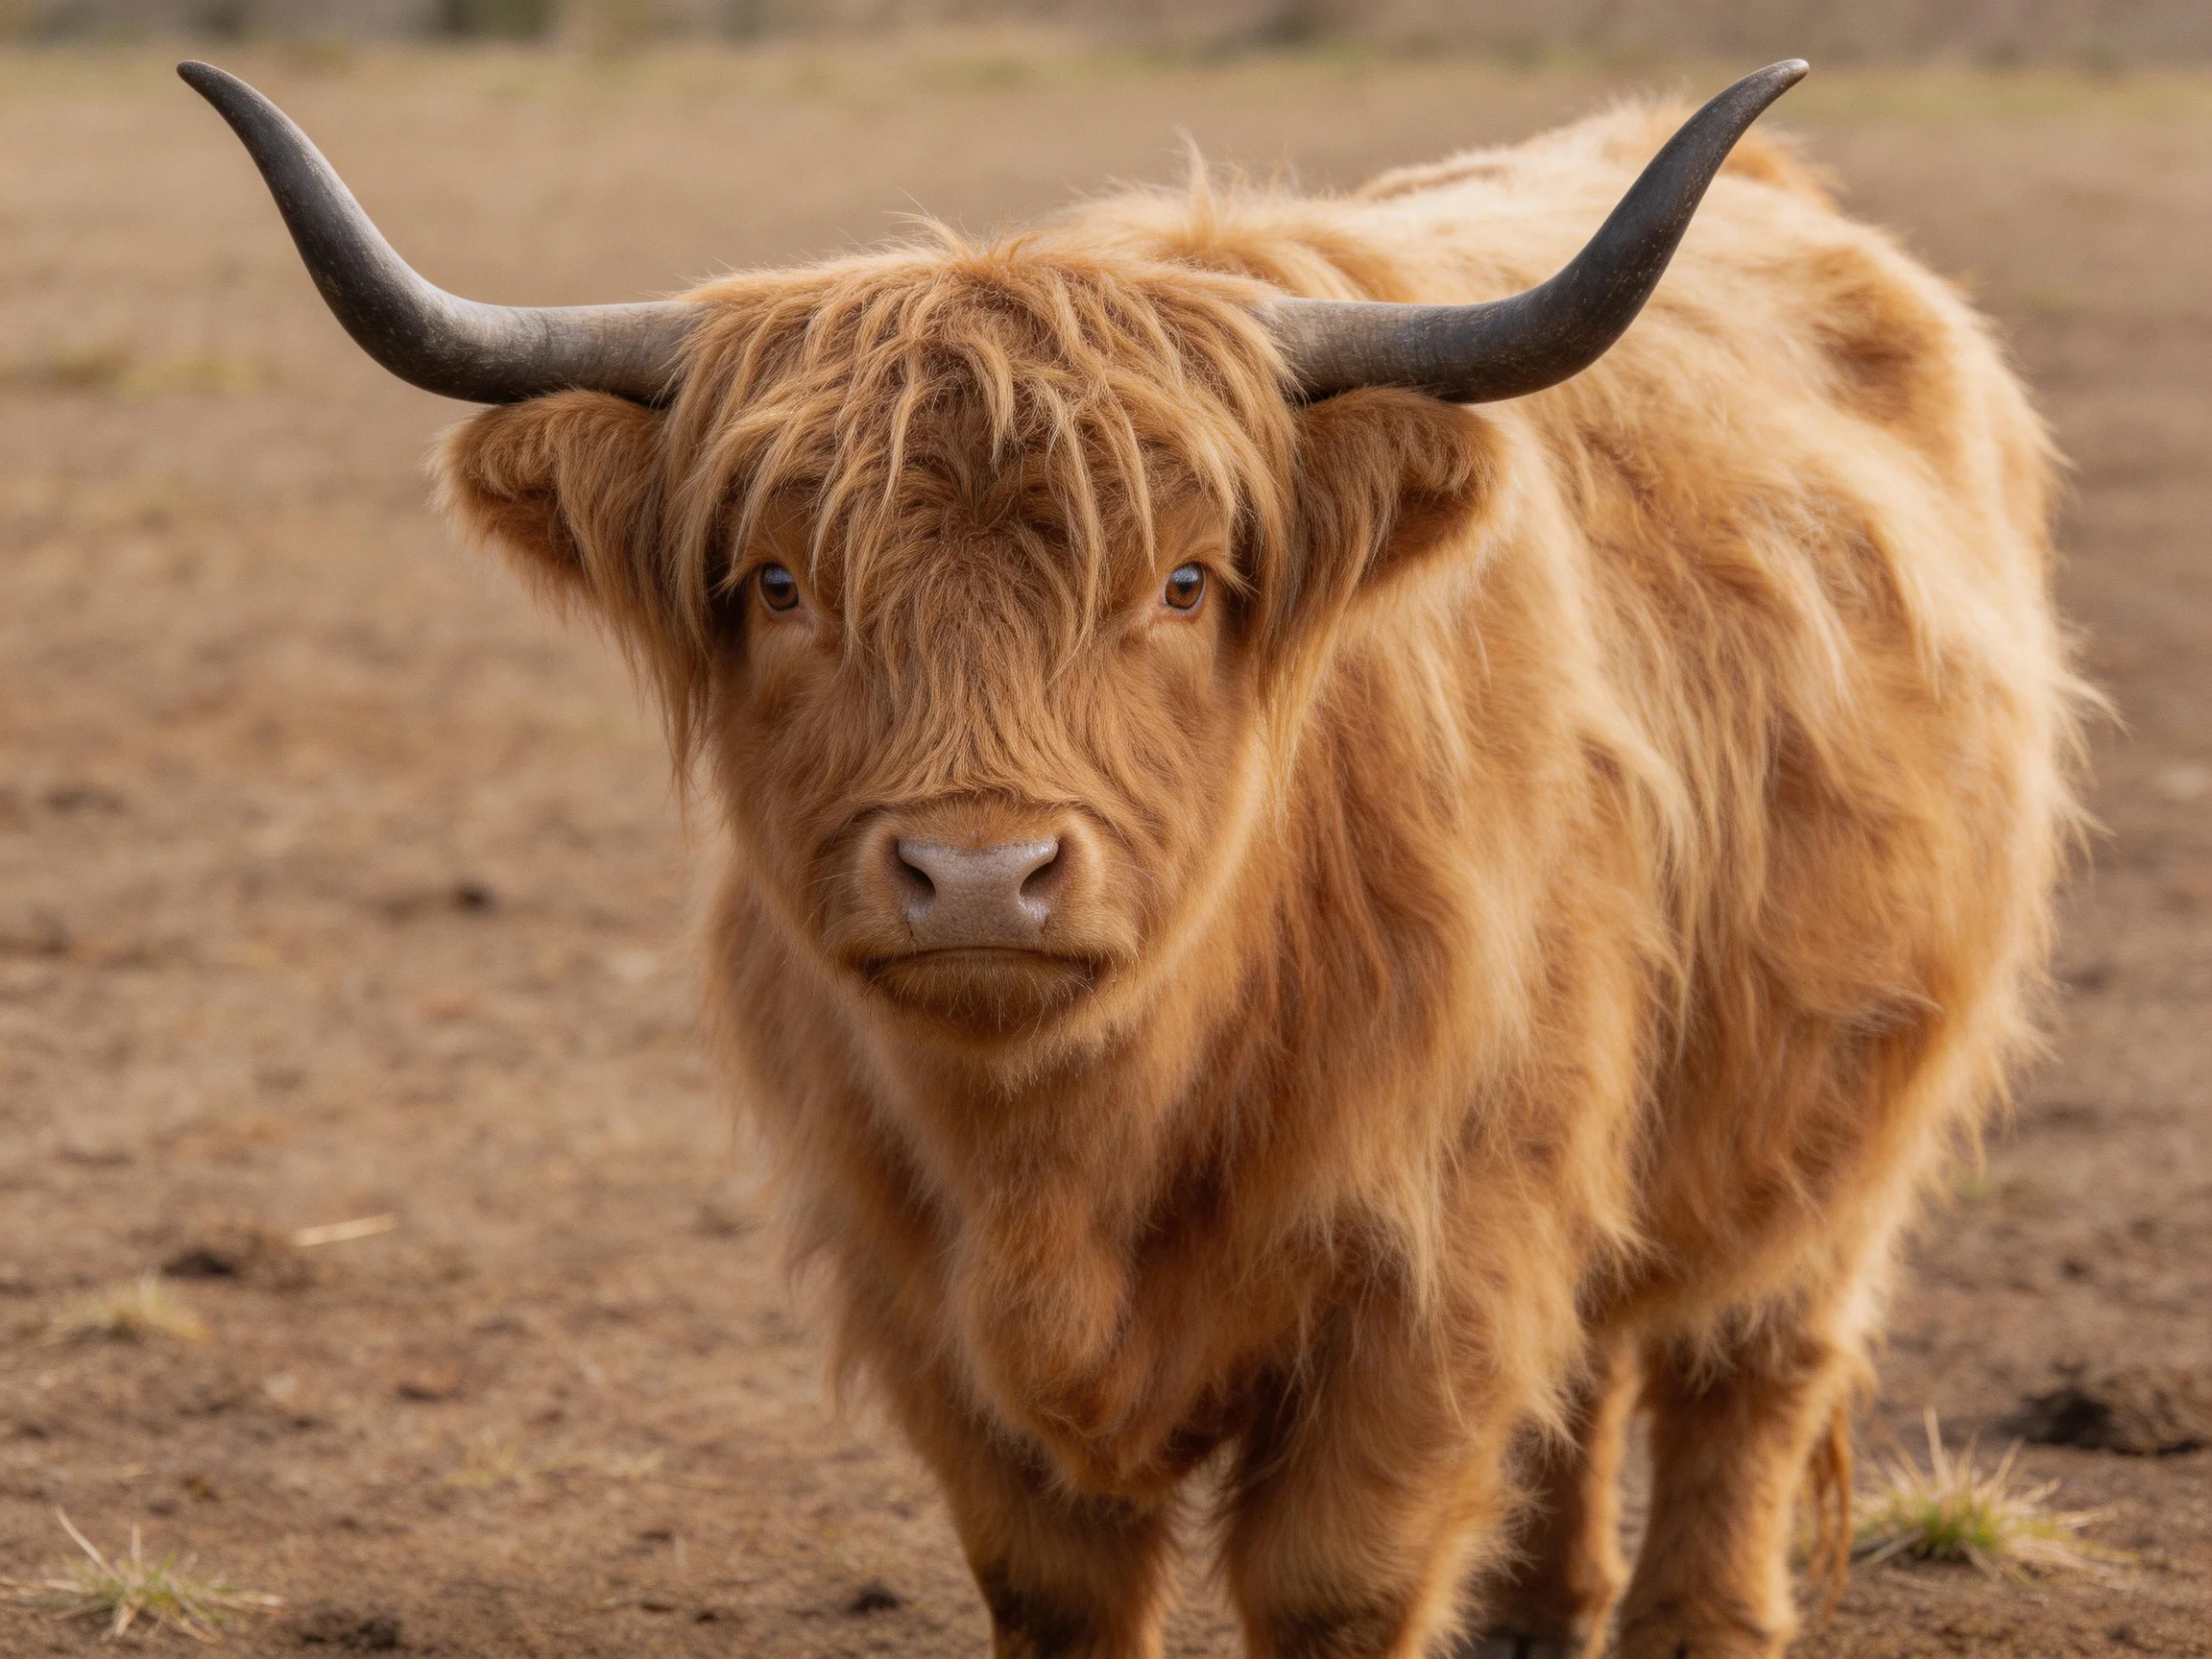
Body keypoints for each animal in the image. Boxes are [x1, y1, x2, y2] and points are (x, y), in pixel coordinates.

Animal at [183, 58, 2085, 1659]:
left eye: (1182, 581)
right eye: (780, 583)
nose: (975, 875)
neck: (1078, 1154)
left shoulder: (1439, 1271)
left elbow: (1340, 1580)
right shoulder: (921, 1297)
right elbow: (1056, 1585)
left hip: (1844, 1106)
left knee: (1741, 1368)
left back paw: (1694, 1618)